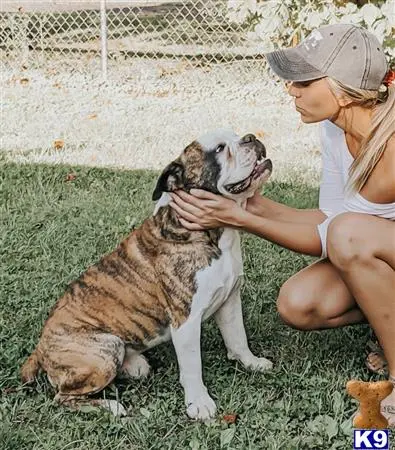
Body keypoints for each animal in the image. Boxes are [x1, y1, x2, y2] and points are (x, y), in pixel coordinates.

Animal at [20, 128, 272, 420]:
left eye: (237, 135)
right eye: (220, 149)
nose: (250, 137)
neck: (209, 232)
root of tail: (40, 349)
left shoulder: (230, 301)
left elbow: (238, 338)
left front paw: (252, 363)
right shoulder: (186, 321)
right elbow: (192, 366)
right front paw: (198, 403)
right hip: (105, 349)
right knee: (63, 397)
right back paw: (111, 406)